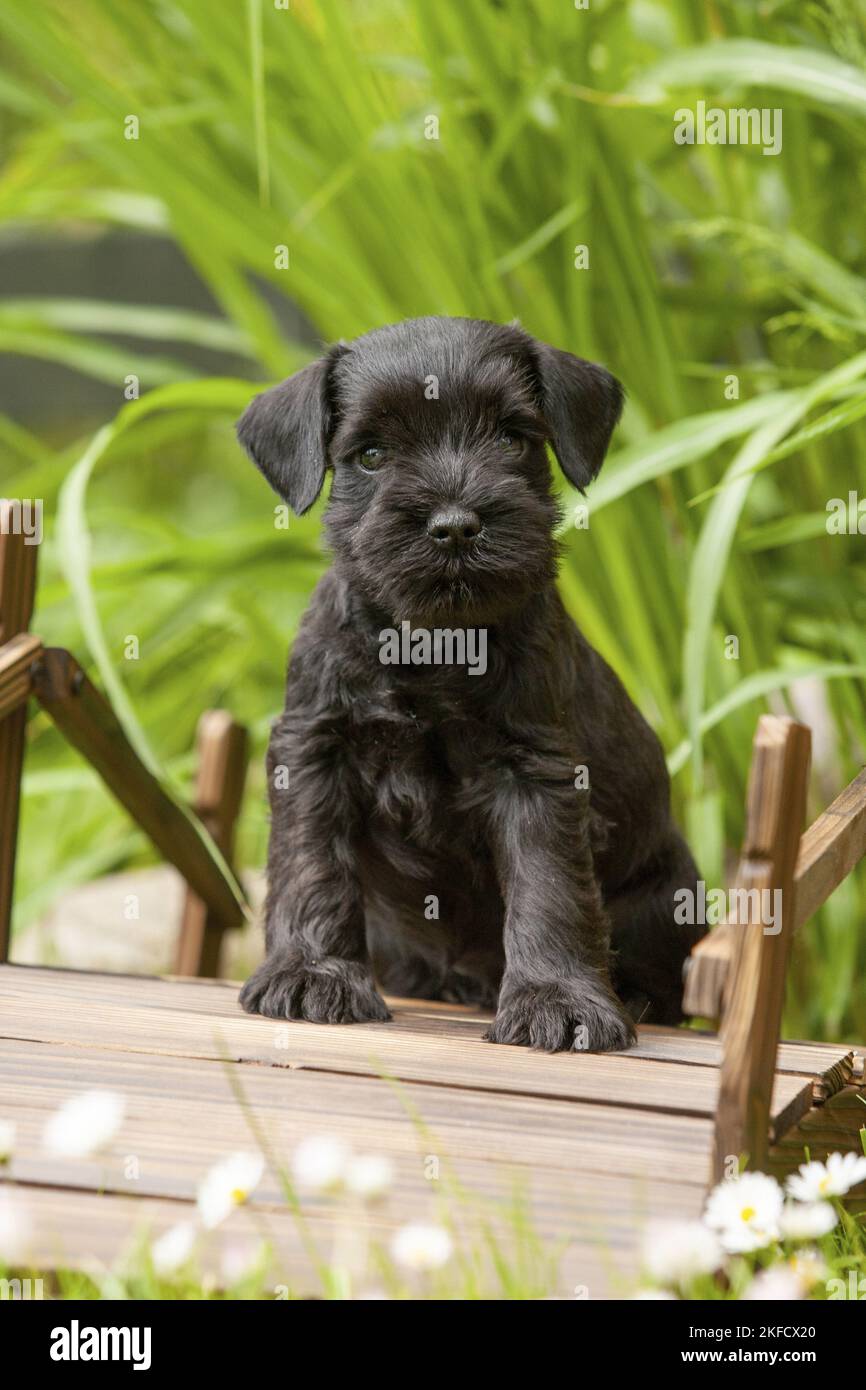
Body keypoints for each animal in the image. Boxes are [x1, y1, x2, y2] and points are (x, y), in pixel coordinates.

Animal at [237, 318, 706, 1050]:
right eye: (371, 454)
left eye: (512, 438)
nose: (455, 526)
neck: (433, 642)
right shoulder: (313, 751)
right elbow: (311, 865)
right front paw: (312, 974)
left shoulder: (535, 770)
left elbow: (549, 888)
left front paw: (556, 999)